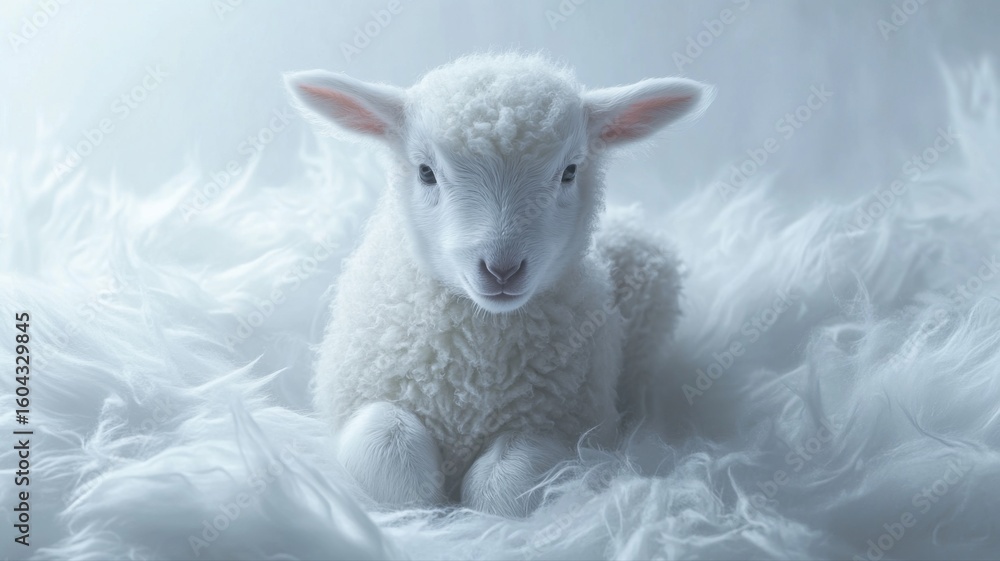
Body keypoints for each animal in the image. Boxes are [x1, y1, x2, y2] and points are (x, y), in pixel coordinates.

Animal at [285, 52, 712, 517]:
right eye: (425, 172)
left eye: (569, 171)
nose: (502, 270)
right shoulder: (355, 403)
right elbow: (390, 453)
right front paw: (427, 512)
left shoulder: (565, 426)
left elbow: (504, 487)